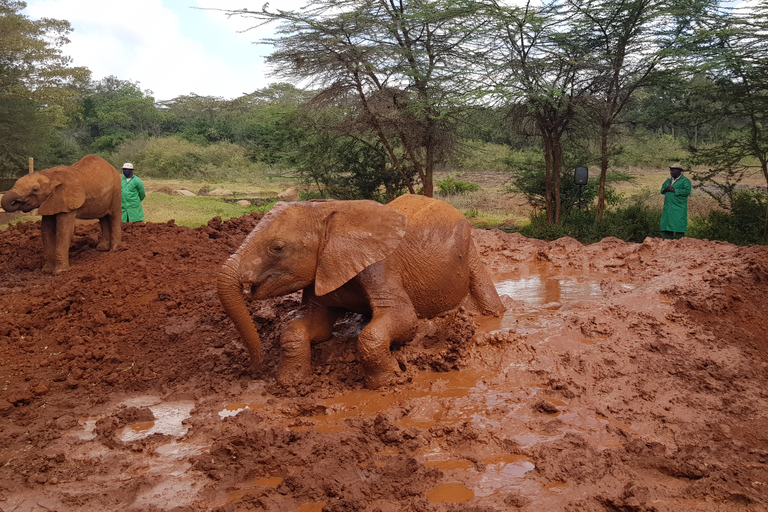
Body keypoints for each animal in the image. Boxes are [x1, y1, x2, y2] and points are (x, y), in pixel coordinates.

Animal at [218, 194, 504, 390]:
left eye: (277, 248)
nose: (255, 369)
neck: (330, 213)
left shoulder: (380, 265)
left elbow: (404, 321)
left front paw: (390, 381)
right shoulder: (321, 269)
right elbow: (311, 326)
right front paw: (291, 383)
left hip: (469, 251)